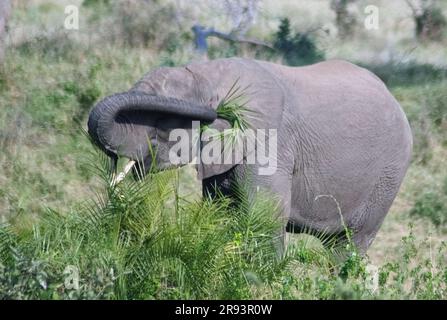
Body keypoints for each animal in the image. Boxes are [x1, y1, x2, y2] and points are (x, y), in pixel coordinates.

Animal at [87, 57, 412, 252]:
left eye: (160, 119)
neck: (209, 74)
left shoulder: (271, 143)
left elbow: (264, 218)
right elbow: (221, 214)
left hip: (387, 176)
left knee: (349, 244)